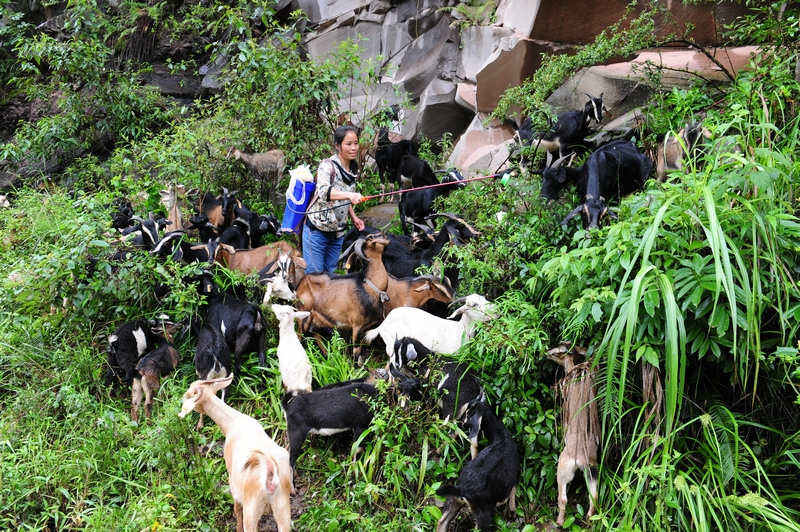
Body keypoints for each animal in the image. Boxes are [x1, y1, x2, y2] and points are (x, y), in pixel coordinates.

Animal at [178, 376, 294, 532]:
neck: (233, 424)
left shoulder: (233, 484)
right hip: (282, 504)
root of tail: (271, 474)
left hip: (252, 507)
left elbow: (236, 508)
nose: (182, 397)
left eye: (189, 393)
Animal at [296, 235, 392, 364]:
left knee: (315, 333)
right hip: (303, 314)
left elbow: (360, 348)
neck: (371, 286)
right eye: (371, 238)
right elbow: (356, 351)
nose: (385, 235)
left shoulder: (367, 327)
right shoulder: (357, 326)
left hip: (317, 318)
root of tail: (300, 283)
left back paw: (328, 356)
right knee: (299, 336)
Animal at [362, 294, 494, 360]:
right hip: (391, 344)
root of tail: (383, 324)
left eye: (485, 299)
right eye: (474, 305)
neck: (459, 330)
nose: (496, 312)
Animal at [544, 340, 600, 528]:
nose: (546, 352)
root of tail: (580, 460)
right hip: (592, 471)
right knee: (594, 495)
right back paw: (589, 519)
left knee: (563, 498)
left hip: (563, 470)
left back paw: (559, 522)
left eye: (556, 352)